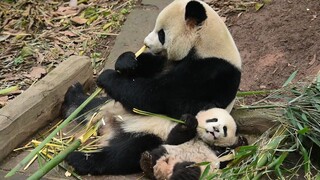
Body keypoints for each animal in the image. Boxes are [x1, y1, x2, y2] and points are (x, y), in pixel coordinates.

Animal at [63, 0, 241, 176]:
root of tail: (112, 125)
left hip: (153, 132)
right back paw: (74, 98)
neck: (205, 43)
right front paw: (126, 61)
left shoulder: (210, 71)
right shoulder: (168, 61)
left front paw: (107, 76)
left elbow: (158, 96)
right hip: (111, 106)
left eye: (161, 34)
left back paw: (81, 159)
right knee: (92, 106)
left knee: (125, 153)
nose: (146, 43)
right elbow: (150, 66)